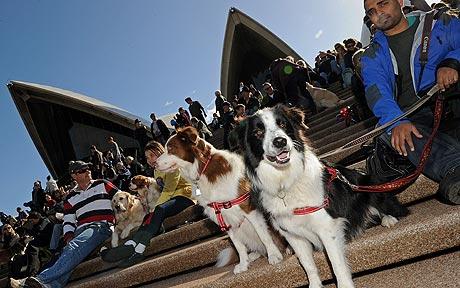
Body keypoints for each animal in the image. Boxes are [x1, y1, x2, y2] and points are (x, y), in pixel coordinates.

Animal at [155, 127, 284, 274]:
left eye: (170, 148)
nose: (154, 164)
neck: (203, 169)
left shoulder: (249, 208)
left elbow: (264, 236)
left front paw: (273, 255)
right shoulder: (223, 216)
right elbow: (238, 246)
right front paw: (243, 264)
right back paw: (254, 255)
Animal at [239, 106, 408, 288]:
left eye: (282, 124)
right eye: (258, 132)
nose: (280, 141)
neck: (285, 180)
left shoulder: (327, 227)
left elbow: (336, 264)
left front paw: (345, 285)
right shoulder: (293, 235)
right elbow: (307, 265)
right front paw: (314, 284)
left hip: (369, 183)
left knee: (392, 208)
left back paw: (388, 218)